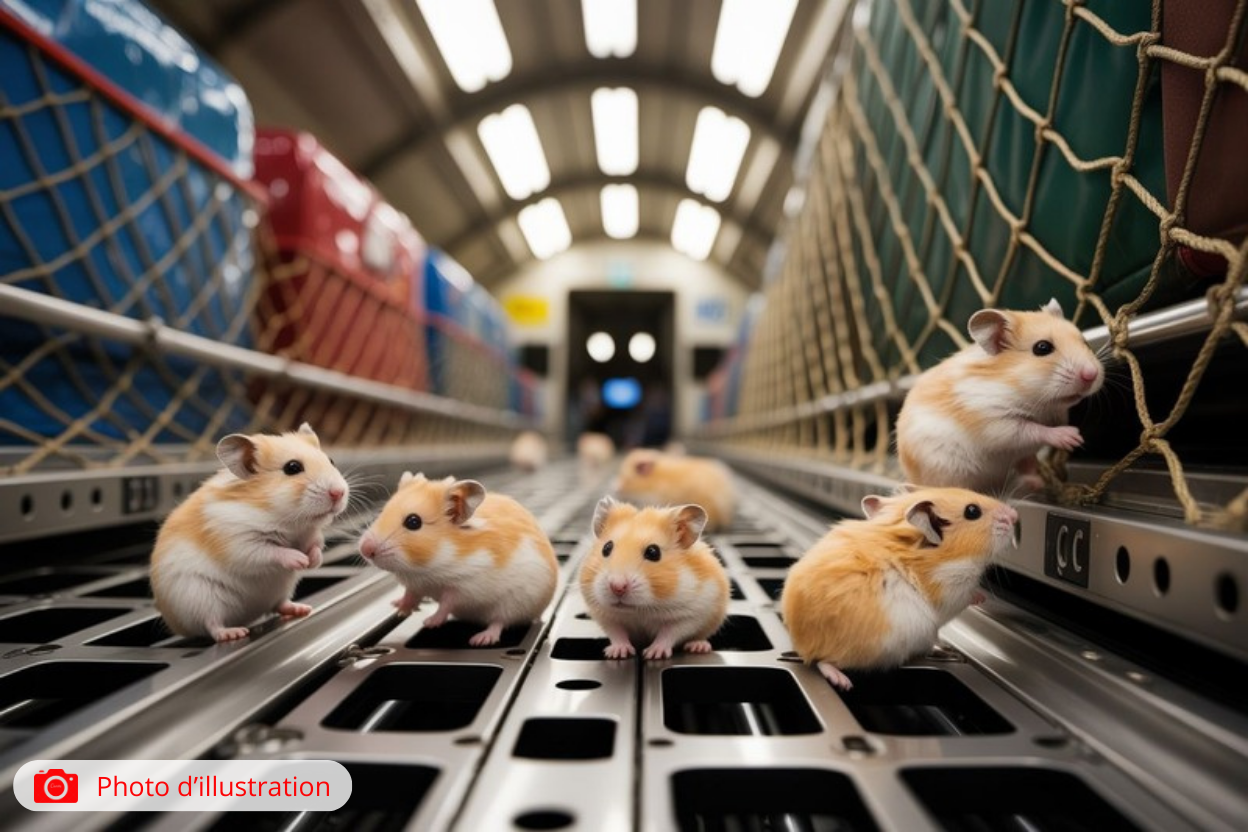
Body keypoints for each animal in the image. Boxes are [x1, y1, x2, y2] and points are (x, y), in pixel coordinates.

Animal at [151, 423, 349, 642]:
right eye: (292, 467)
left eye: (331, 461)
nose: (339, 493)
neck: (289, 521)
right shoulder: (240, 543)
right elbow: (272, 552)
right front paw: (300, 560)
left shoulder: (312, 536)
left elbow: (316, 548)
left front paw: (312, 561)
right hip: (199, 596)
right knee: (212, 624)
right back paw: (234, 633)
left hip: (280, 591)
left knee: (279, 605)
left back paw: (302, 609)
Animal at [358, 473, 557, 646]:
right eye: (383, 511)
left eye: (413, 522)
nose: (365, 550)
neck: (426, 566)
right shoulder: (415, 585)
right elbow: (410, 595)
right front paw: (399, 609)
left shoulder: (464, 586)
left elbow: (446, 604)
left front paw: (430, 622)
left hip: (515, 602)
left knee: (499, 621)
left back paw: (481, 639)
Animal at [579, 497, 729, 660]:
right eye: (606, 548)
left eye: (653, 552)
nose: (617, 587)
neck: (640, 610)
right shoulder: (604, 615)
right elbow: (617, 633)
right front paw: (617, 653)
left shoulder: (692, 614)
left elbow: (669, 633)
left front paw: (653, 654)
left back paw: (698, 647)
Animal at [781, 487, 1018, 690]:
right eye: (972, 511)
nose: (1015, 515)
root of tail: (802, 644)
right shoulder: (951, 592)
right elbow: (968, 596)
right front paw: (981, 598)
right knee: (822, 661)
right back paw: (842, 682)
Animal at [895, 299, 1104, 494]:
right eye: (1042, 348)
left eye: (1084, 341)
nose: (1091, 374)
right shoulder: (996, 422)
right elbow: (1033, 429)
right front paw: (1072, 437)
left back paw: (1037, 482)